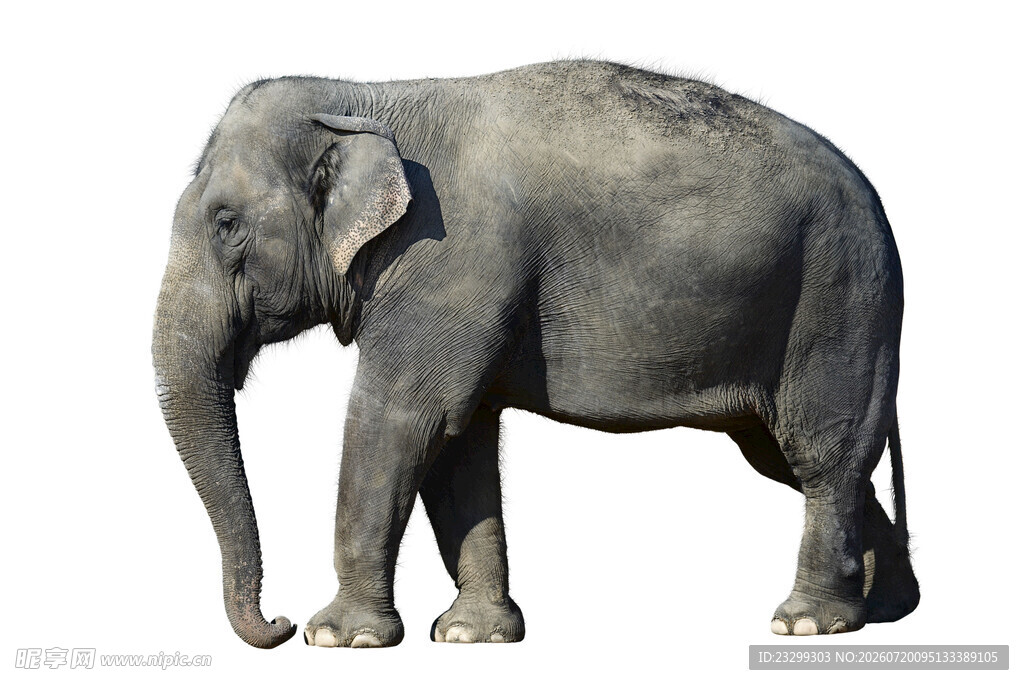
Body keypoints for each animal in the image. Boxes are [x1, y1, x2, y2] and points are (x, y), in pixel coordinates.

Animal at [153, 60, 919, 649]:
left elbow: (401, 420)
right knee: (802, 457)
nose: (277, 623)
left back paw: (807, 623)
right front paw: (472, 634)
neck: (364, 95)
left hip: (839, 295)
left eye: (226, 224)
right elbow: (459, 445)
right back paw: (883, 609)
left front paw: (342, 637)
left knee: (822, 452)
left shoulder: (447, 259)